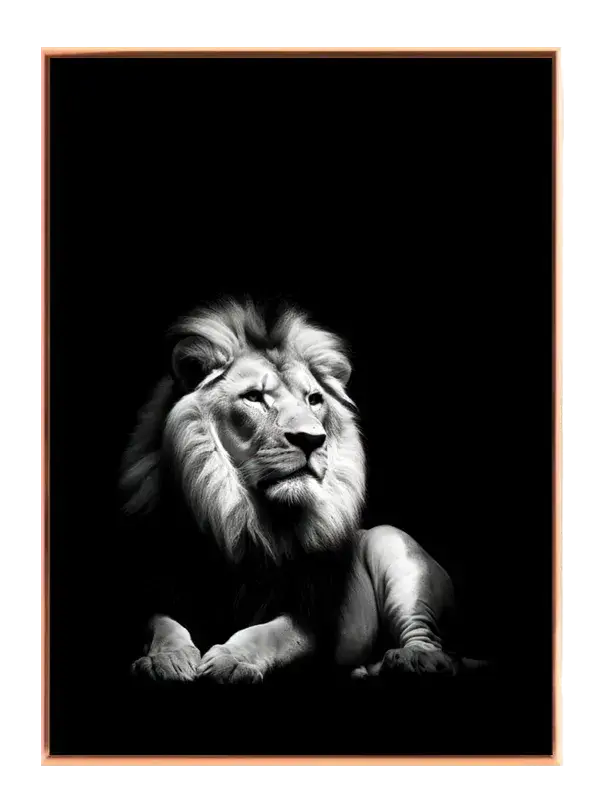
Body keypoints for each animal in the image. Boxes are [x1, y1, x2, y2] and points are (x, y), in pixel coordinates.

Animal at [120, 297, 486, 684]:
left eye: (313, 399)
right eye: (254, 397)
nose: (312, 439)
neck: (241, 521)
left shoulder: (312, 618)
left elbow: (269, 634)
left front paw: (231, 661)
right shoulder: (156, 587)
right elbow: (162, 624)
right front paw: (166, 659)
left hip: (392, 544)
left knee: (434, 644)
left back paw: (413, 659)